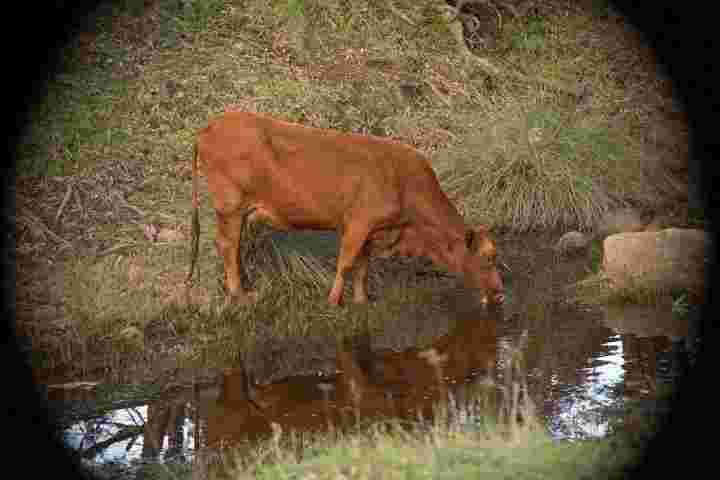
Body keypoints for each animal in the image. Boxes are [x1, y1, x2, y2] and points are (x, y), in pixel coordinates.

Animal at [186, 111, 504, 306]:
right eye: (488, 258)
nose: (500, 293)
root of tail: (210, 127)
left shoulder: (373, 230)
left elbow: (363, 265)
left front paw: (362, 300)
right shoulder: (358, 223)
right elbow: (347, 263)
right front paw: (333, 301)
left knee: (234, 245)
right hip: (230, 206)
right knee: (227, 245)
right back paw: (239, 295)